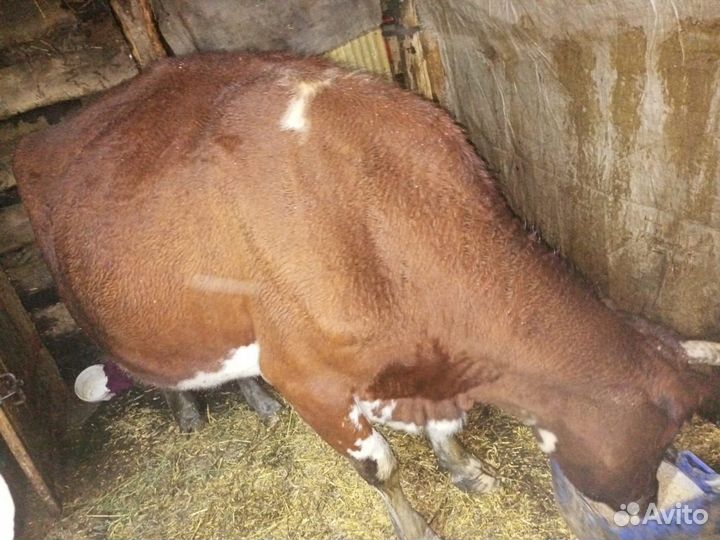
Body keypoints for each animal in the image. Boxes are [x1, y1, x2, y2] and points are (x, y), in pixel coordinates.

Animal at [13, 52, 719, 539]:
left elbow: (447, 428)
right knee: (147, 362)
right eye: (661, 436)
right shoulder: (307, 376)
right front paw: (416, 527)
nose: (645, 507)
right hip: (107, 305)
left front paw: (465, 469)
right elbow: (380, 469)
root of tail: (55, 127)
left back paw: (255, 402)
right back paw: (186, 411)